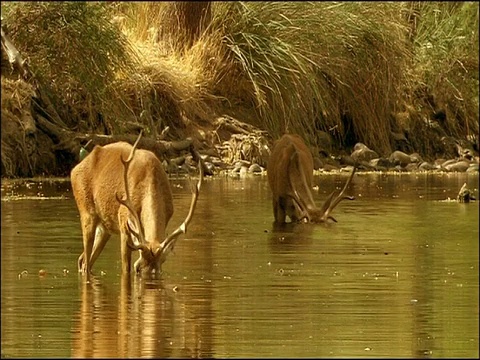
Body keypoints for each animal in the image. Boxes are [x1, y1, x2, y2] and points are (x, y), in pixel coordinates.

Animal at [70, 131, 203, 278]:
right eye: (137, 268)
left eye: (160, 269)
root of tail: (74, 170)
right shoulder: (123, 222)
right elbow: (125, 268)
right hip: (86, 211)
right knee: (86, 261)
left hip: (105, 227)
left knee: (82, 259)